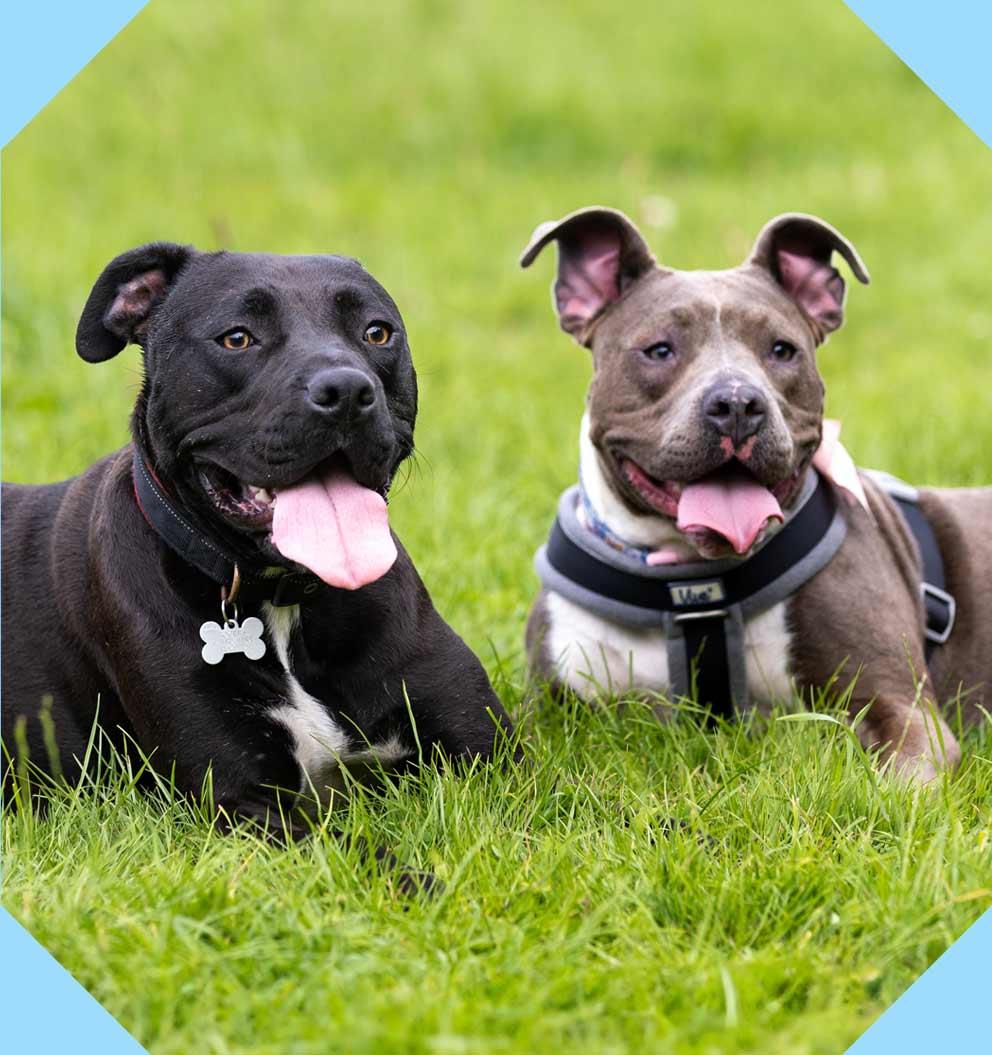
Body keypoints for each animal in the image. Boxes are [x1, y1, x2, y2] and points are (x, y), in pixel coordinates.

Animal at [0, 242, 510, 827]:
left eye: (377, 332)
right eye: (238, 337)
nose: (346, 390)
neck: (285, 600)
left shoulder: (493, 758)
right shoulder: (241, 799)